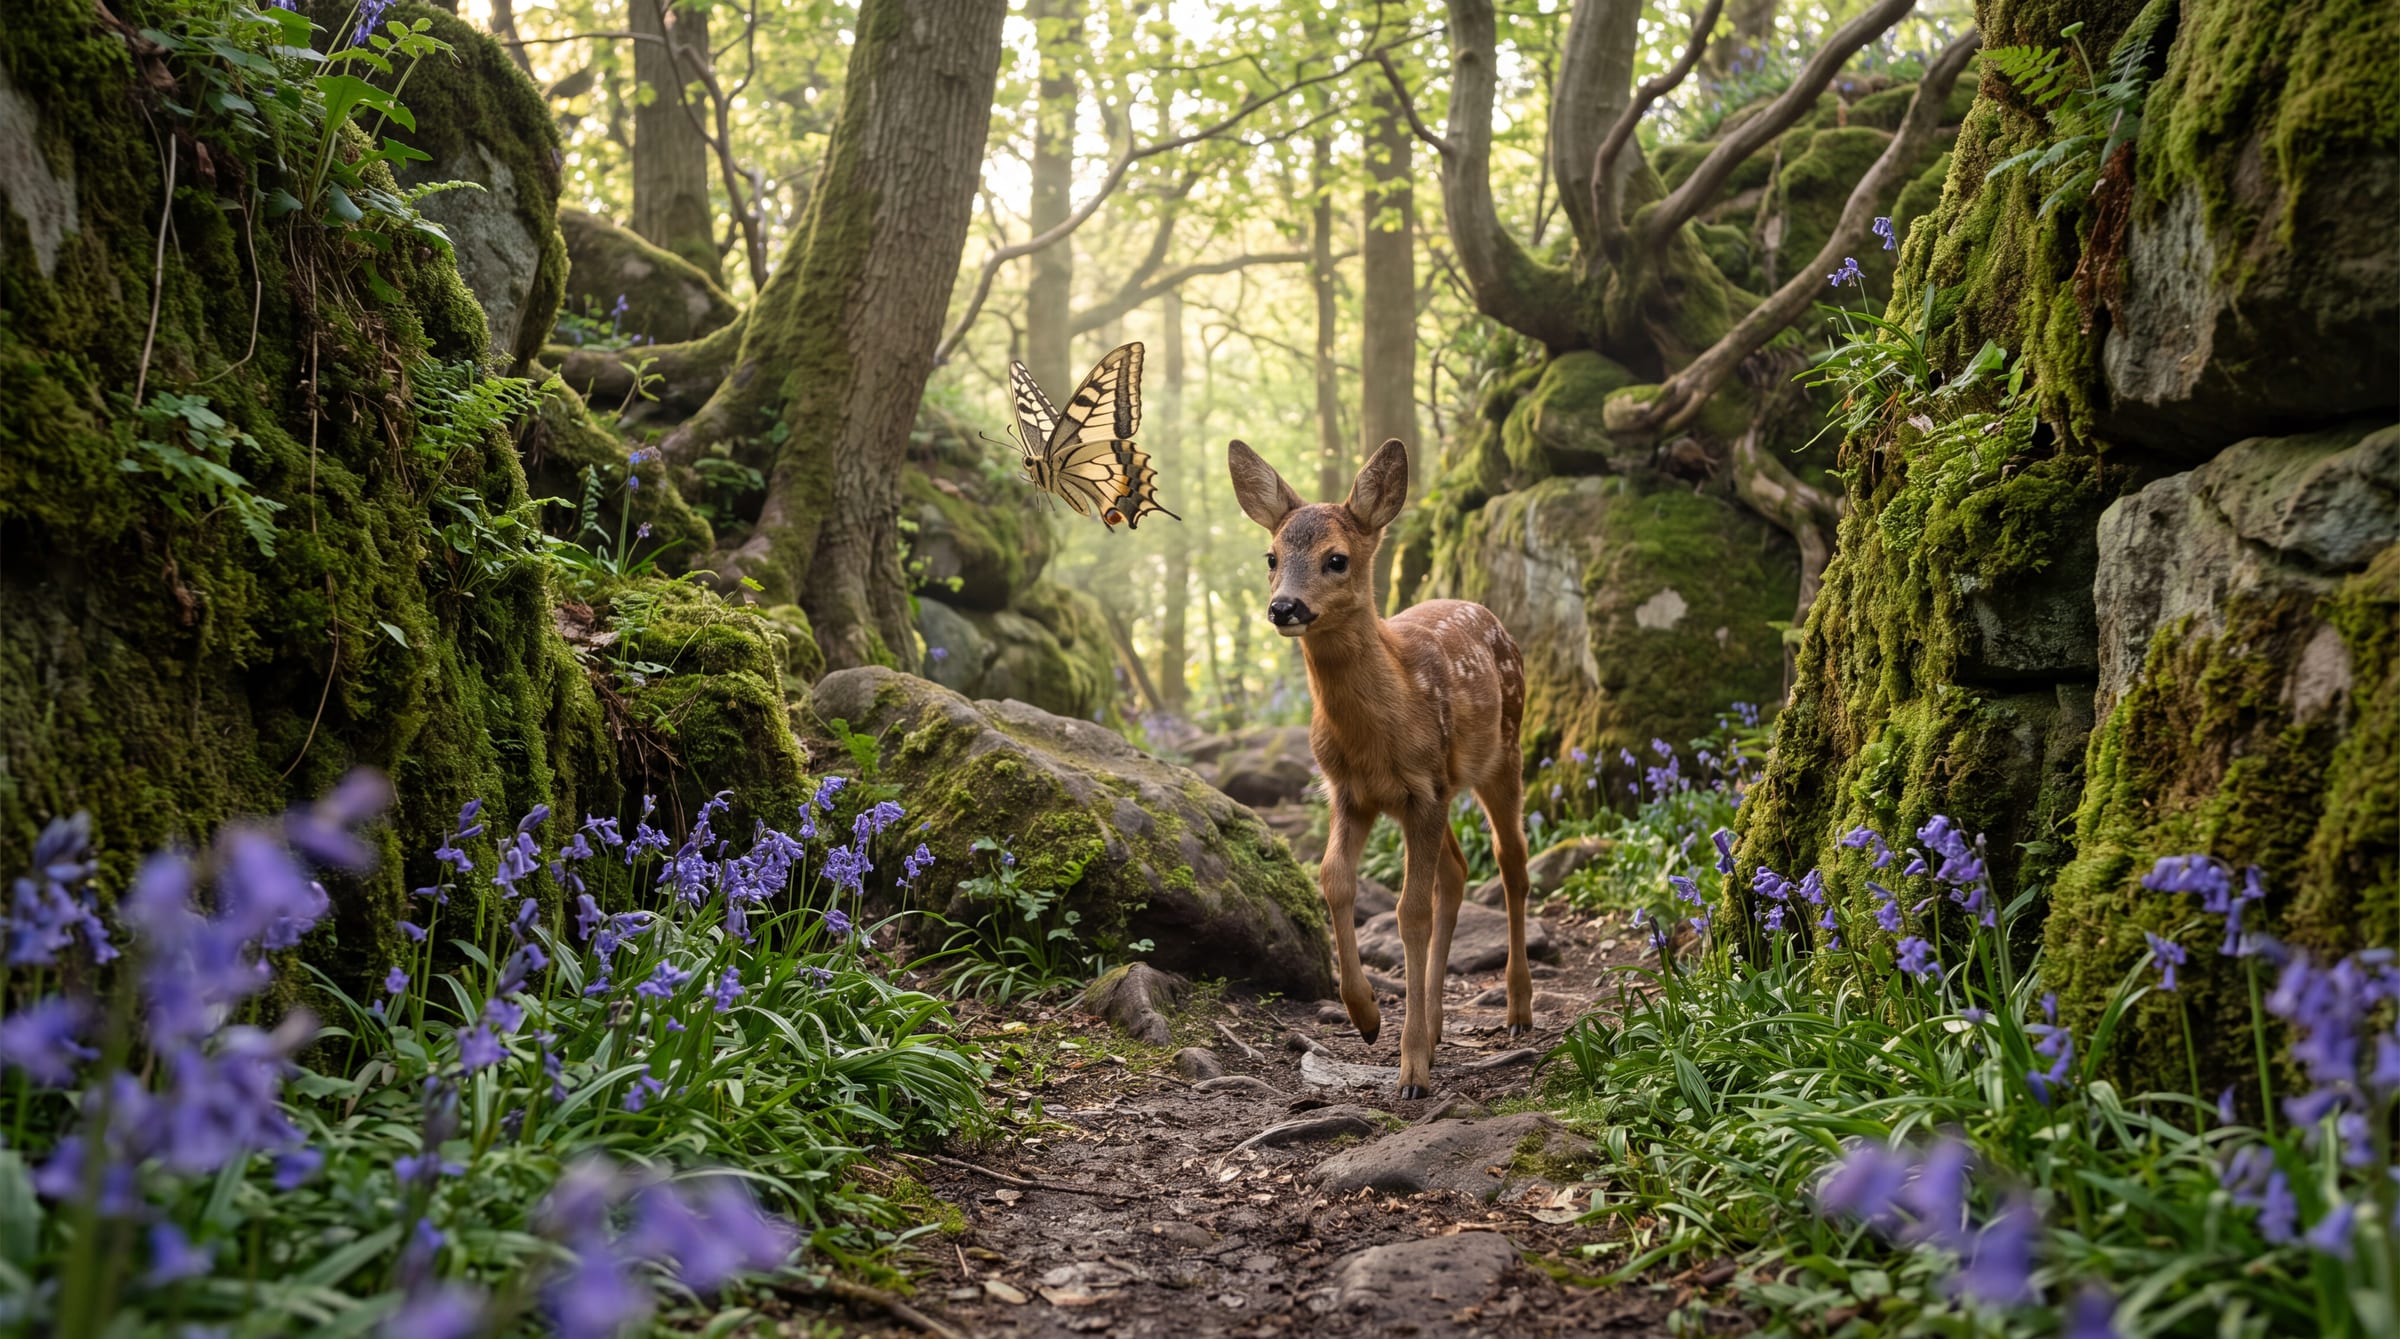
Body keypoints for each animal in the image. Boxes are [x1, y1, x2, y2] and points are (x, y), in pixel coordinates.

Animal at [1227, 437, 1533, 1099]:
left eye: (1337, 559)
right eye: (1271, 555)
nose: (1283, 607)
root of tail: (1488, 613)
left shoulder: (1422, 788)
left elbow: (1408, 913)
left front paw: (1410, 1069)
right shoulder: (1351, 791)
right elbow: (1333, 879)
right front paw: (1366, 1017)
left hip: (1504, 754)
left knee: (1511, 863)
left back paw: (1518, 1010)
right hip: (1440, 791)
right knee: (1456, 870)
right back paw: (1439, 1025)